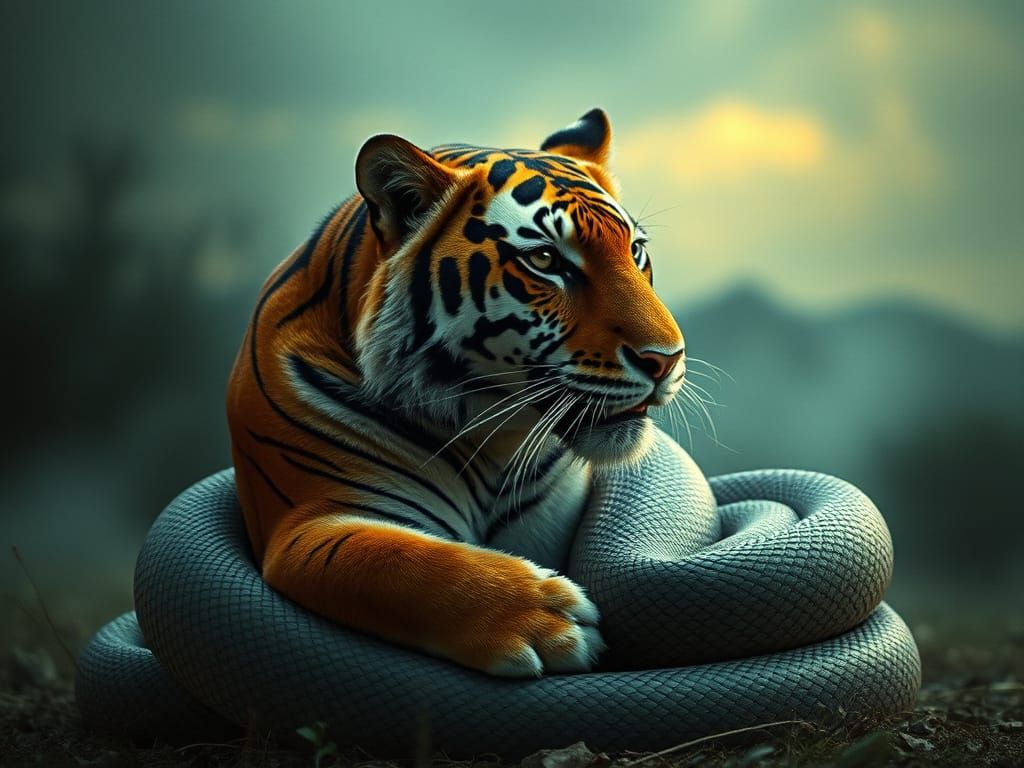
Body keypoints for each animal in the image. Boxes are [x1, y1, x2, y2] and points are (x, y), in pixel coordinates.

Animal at [226, 109, 685, 677]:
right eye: (545, 260)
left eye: (636, 251)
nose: (667, 358)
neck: (494, 438)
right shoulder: (308, 524)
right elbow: (399, 564)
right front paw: (549, 622)